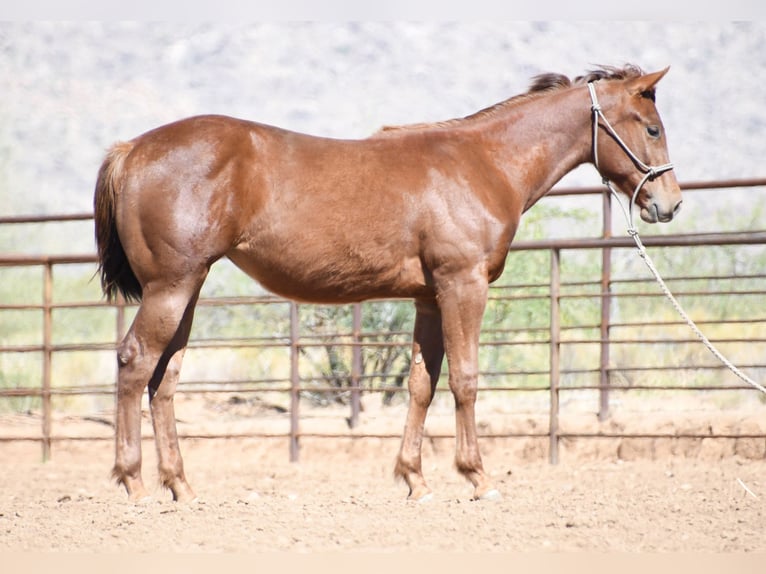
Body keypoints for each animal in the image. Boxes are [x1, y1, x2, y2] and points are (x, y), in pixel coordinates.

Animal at [94, 64, 682, 503]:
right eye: (651, 127)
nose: (669, 203)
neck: (484, 163)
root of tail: (132, 149)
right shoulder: (463, 286)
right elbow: (465, 379)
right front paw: (477, 476)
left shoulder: (428, 298)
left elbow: (421, 384)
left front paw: (415, 479)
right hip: (171, 286)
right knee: (135, 362)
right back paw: (134, 483)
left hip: (187, 288)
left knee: (164, 378)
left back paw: (181, 486)